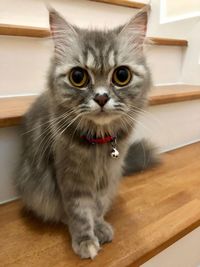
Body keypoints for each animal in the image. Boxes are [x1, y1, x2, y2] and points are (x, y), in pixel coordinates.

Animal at [16, 7, 156, 260]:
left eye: (122, 75)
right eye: (78, 77)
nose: (101, 98)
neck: (99, 142)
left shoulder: (105, 179)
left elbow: (97, 208)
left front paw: (99, 227)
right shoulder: (70, 180)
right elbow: (80, 212)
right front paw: (85, 241)